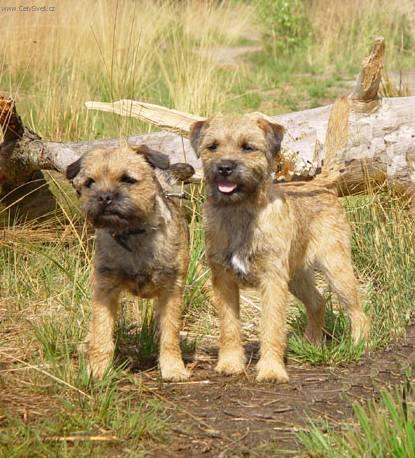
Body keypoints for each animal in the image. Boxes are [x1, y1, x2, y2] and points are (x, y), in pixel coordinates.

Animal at [66, 145, 193, 382]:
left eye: (127, 179)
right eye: (90, 182)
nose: (104, 197)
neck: (134, 233)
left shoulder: (171, 290)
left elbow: (170, 333)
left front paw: (173, 368)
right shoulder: (104, 289)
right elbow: (102, 331)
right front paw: (97, 370)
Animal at [190, 114, 368, 382]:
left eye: (247, 147)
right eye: (212, 146)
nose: (225, 168)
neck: (240, 212)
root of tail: (321, 184)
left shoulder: (272, 281)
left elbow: (272, 327)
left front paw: (271, 370)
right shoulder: (224, 281)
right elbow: (229, 327)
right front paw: (230, 364)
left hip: (336, 269)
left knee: (357, 311)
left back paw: (358, 344)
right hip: (296, 277)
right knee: (317, 302)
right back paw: (311, 343)